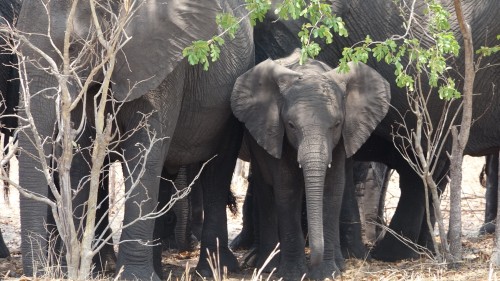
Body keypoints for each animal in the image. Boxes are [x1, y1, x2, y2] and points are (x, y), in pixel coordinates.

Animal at [15, 1, 254, 278]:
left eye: (73, 47)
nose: (38, 273)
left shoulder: (161, 63)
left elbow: (144, 149)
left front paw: (133, 277)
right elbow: (81, 153)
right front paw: (84, 273)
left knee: (217, 172)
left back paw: (213, 270)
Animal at [230, 50, 390, 280]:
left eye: (337, 124)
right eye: (291, 125)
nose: (313, 260)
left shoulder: (341, 138)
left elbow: (332, 189)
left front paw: (326, 273)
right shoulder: (277, 133)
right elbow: (287, 189)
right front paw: (293, 273)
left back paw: (339, 264)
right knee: (266, 192)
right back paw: (267, 267)